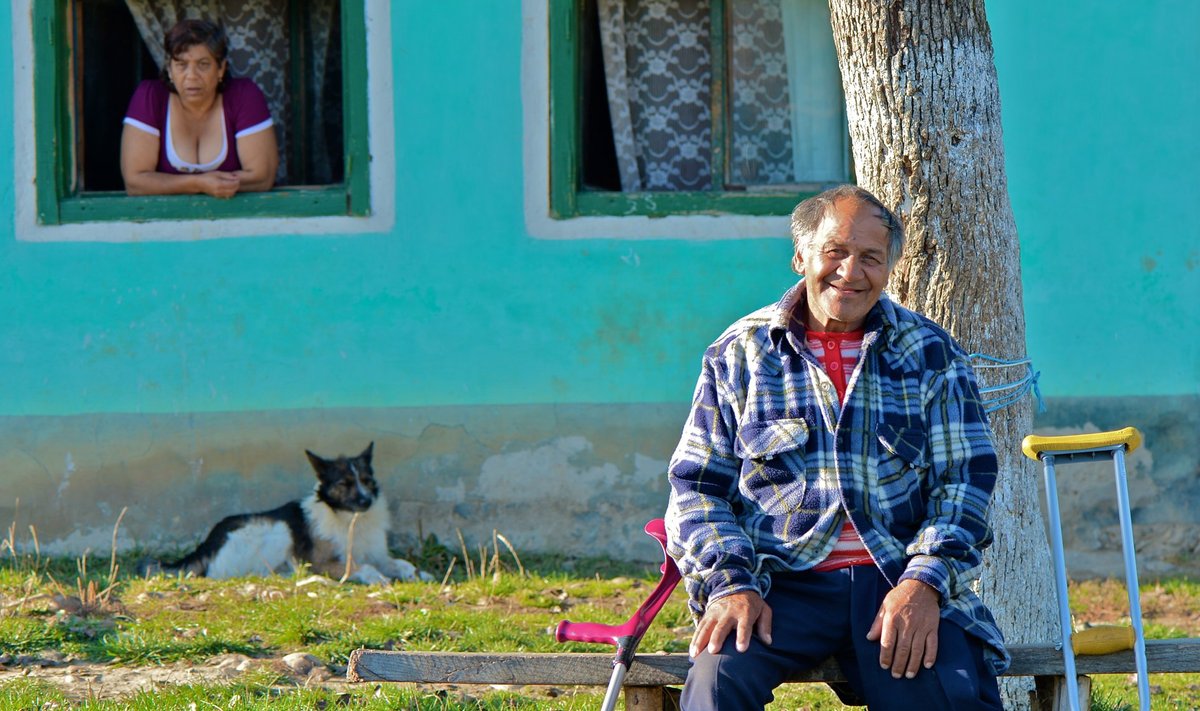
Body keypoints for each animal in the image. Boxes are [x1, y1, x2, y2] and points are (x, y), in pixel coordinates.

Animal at [151, 444, 432, 583]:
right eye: (344, 484)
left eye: (366, 480)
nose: (366, 501)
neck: (351, 520)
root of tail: (207, 543)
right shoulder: (322, 561)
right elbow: (362, 567)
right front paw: (377, 578)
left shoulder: (377, 554)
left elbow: (401, 563)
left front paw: (418, 574)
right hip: (277, 532)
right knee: (225, 574)